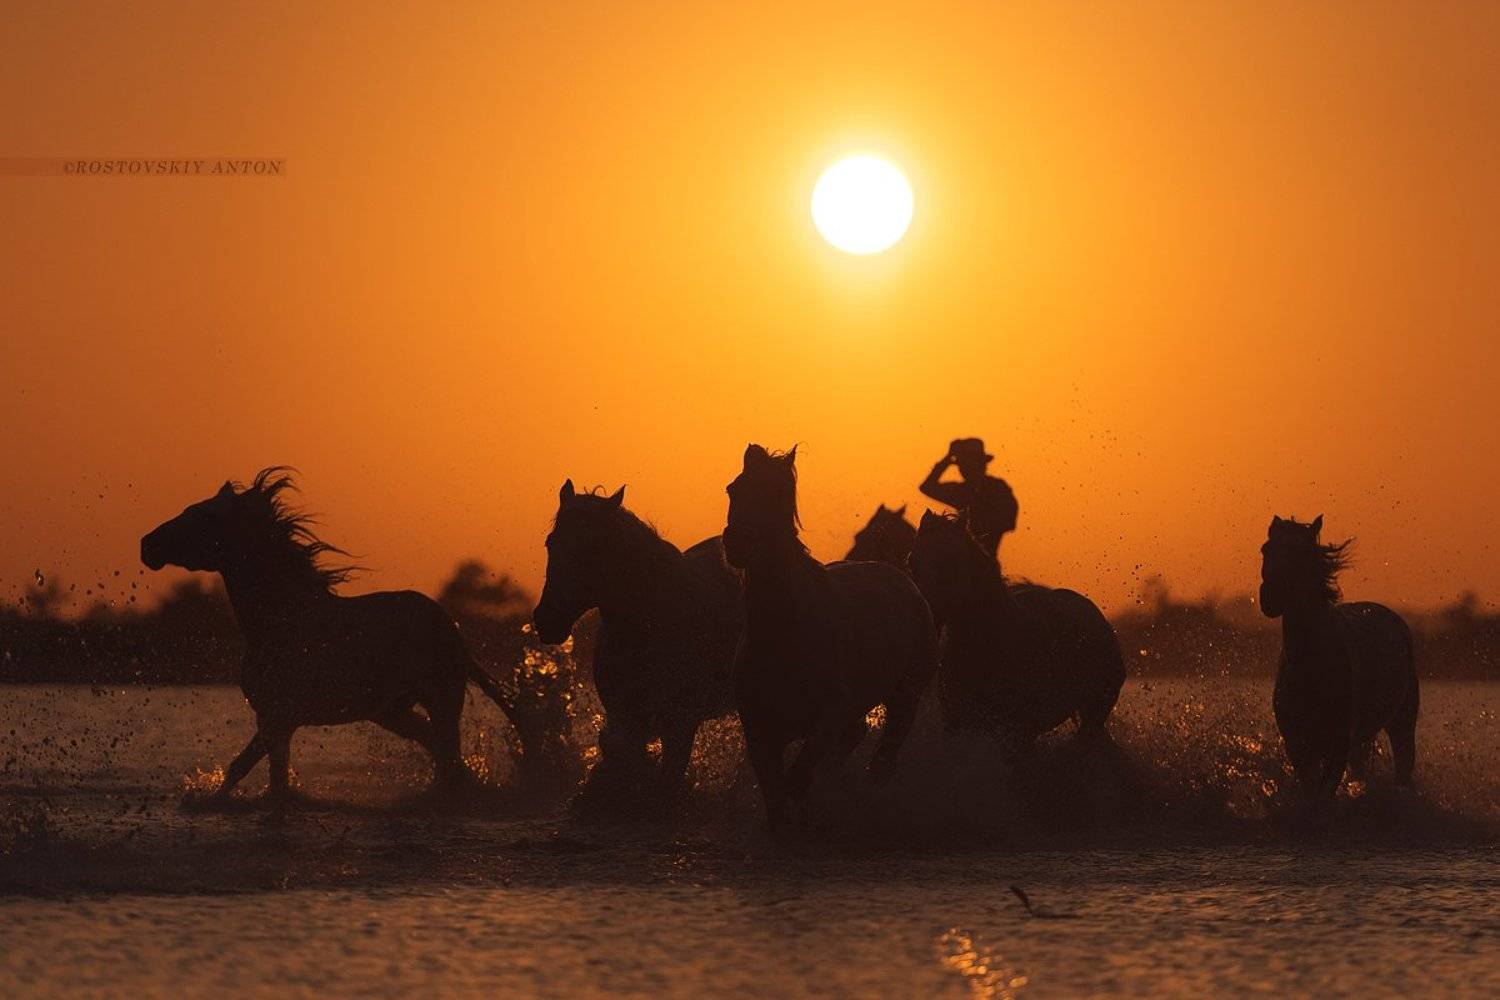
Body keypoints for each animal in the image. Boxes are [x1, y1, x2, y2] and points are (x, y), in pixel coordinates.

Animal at [140, 468, 519, 806]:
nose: (147, 545)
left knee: (448, 755)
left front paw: (209, 800)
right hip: (391, 710)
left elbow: (241, 766)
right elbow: (272, 778)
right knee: (439, 751)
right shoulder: (272, 718)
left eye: (201, 516)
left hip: (440, 699)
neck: (281, 622)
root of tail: (451, 626)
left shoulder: (280, 715)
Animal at [532, 480, 743, 809]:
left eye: (593, 548)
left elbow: (664, 781)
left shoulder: (681, 723)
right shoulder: (625, 715)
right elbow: (621, 754)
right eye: (550, 542)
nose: (547, 620)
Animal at [724, 444, 937, 830]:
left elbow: (796, 781)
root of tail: (904, 581)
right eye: (733, 488)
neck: (785, 632)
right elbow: (777, 798)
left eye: (778, 493)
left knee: (883, 757)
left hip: (905, 696)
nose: (737, 544)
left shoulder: (826, 722)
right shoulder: (759, 731)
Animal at [907, 511, 1123, 753]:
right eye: (912, 561)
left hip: (1094, 714)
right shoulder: (957, 722)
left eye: (951, 563)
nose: (926, 615)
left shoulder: (1017, 732)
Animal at [1260, 515, 1418, 798]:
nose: (1270, 598)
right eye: (1265, 549)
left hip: (1403, 722)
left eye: (1302, 553)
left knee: (1403, 766)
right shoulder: (1298, 746)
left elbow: (1323, 796)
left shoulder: (1337, 746)